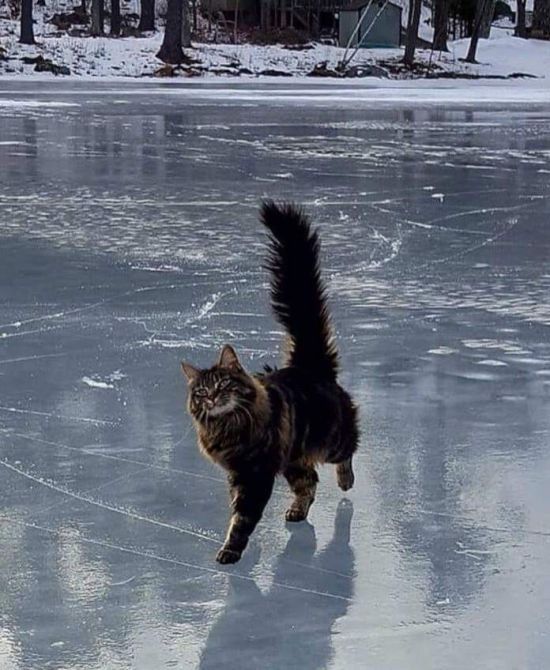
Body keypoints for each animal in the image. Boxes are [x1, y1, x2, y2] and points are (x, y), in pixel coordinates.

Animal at [183, 201, 360, 568]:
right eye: (201, 392)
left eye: (224, 384)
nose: (212, 400)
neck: (227, 428)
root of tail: (308, 365)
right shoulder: (237, 475)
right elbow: (238, 510)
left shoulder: (255, 474)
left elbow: (243, 518)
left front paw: (232, 551)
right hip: (294, 458)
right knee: (309, 482)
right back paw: (297, 511)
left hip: (330, 439)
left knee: (349, 449)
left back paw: (346, 481)